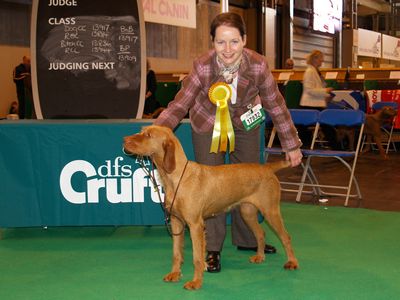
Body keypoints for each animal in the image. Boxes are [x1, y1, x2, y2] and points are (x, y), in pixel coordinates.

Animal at [123, 125, 298, 290]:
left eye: (148, 135)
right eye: (142, 131)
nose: (124, 140)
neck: (177, 178)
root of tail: (266, 167)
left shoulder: (195, 225)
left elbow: (197, 257)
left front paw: (196, 282)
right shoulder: (176, 221)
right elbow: (176, 253)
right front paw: (175, 274)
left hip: (270, 211)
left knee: (286, 237)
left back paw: (292, 262)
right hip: (247, 211)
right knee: (261, 233)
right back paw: (260, 256)